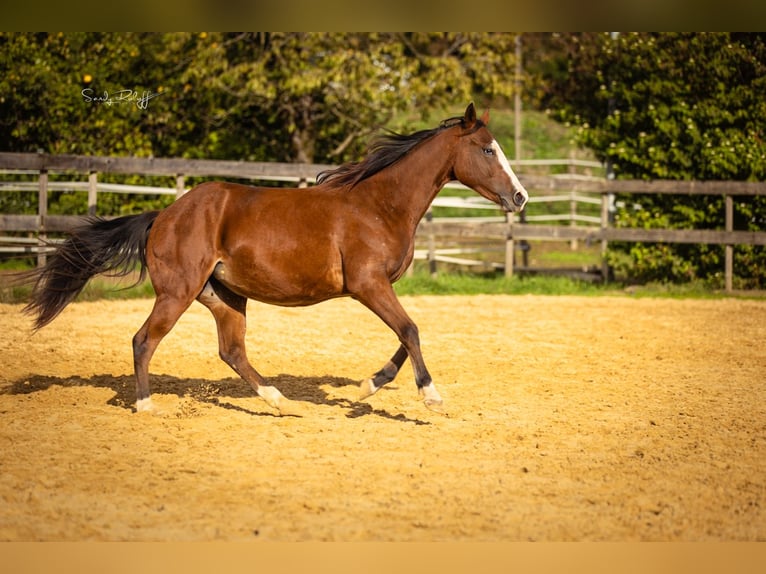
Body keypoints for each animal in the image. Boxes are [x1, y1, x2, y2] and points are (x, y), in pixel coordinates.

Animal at [20, 103, 528, 416]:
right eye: (487, 149)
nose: (520, 197)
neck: (379, 204)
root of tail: (163, 214)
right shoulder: (368, 285)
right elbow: (411, 329)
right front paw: (430, 396)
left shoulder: (380, 287)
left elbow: (408, 334)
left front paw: (369, 384)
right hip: (178, 292)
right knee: (144, 340)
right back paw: (147, 406)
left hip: (224, 296)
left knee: (231, 350)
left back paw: (278, 399)